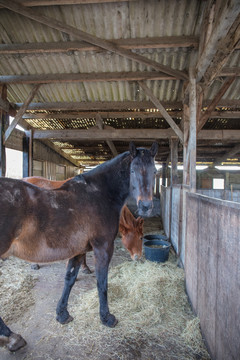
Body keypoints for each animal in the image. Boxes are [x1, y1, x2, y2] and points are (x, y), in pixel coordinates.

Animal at [0, 143, 158, 352]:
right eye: (133, 170)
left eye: (154, 171)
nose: (146, 206)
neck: (99, 194)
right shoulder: (103, 248)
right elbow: (102, 282)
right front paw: (107, 318)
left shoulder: (78, 250)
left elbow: (70, 279)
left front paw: (62, 314)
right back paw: (11, 337)